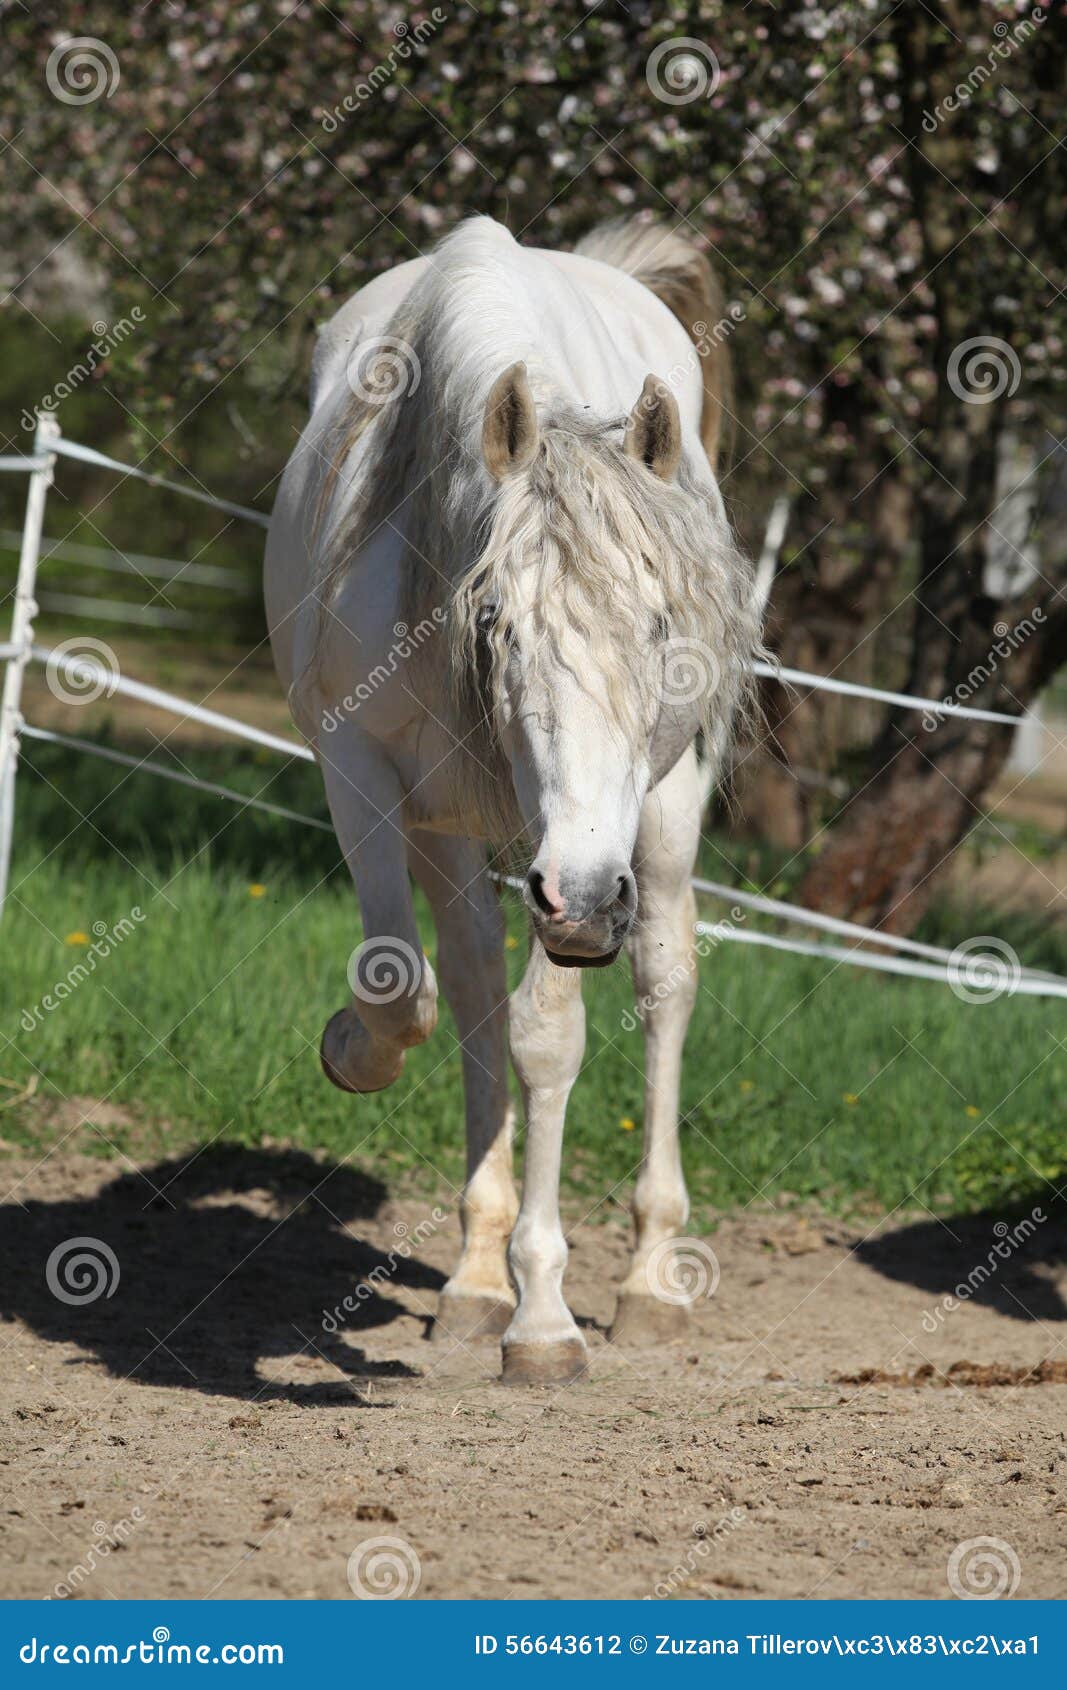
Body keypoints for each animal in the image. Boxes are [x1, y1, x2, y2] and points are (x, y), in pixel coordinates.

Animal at [264, 215, 762, 1385]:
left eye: (661, 626)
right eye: (490, 621)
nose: (581, 898)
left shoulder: (581, 851)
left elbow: (549, 1039)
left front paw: (544, 1323)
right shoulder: (362, 771)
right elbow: (404, 990)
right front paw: (349, 1053)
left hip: (657, 827)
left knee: (662, 985)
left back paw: (644, 1280)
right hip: (462, 836)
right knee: (472, 986)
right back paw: (476, 1279)